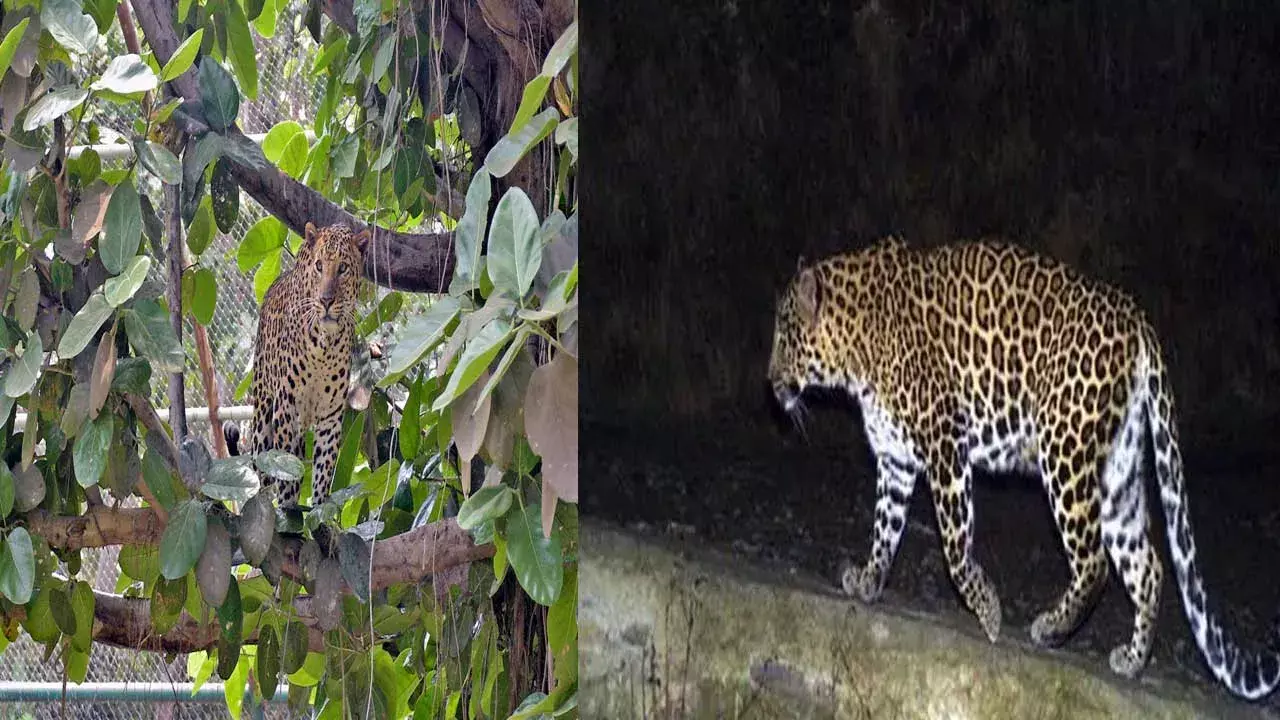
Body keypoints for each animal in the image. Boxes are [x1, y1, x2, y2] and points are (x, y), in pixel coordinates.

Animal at [246, 222, 369, 508]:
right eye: (319, 266)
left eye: (343, 268)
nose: (326, 300)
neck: (324, 346)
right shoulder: (286, 408)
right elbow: (286, 469)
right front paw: (287, 508)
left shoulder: (331, 417)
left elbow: (323, 469)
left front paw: (320, 509)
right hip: (263, 414)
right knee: (263, 465)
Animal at [767, 236, 1280, 700]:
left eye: (784, 337)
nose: (770, 383)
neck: (855, 345)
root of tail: (1136, 317)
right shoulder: (895, 460)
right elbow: (884, 528)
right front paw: (869, 581)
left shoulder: (945, 442)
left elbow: (954, 547)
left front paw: (988, 611)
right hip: (1119, 473)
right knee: (1147, 565)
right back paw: (1132, 662)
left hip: (1064, 448)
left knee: (1094, 561)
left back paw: (1051, 628)